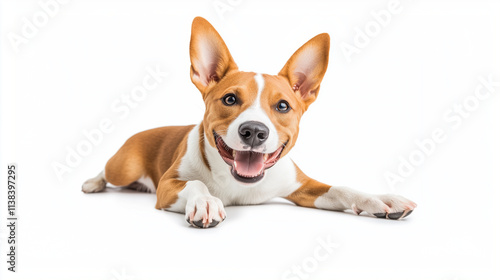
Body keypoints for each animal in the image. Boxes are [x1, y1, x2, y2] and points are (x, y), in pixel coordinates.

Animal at [83, 17, 418, 228]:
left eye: (283, 105)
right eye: (230, 99)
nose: (254, 132)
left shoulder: (304, 186)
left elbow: (341, 189)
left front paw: (379, 200)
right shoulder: (168, 186)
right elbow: (195, 183)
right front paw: (205, 202)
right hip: (123, 166)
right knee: (108, 170)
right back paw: (93, 183)